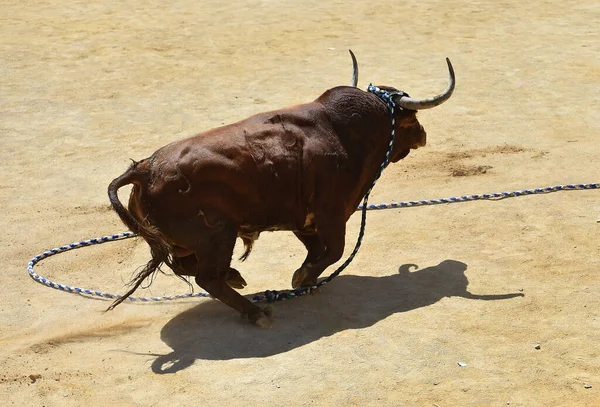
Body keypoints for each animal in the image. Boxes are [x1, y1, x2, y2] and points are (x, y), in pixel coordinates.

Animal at [108, 51, 454, 326]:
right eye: (411, 120)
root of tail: (146, 169)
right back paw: (254, 311)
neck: (345, 133)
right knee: (206, 277)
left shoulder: (301, 216)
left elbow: (317, 250)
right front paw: (303, 278)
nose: (423, 134)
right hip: (217, 235)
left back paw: (235, 278)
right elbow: (335, 250)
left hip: (190, 241)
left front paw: (304, 277)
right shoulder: (330, 213)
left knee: (190, 267)